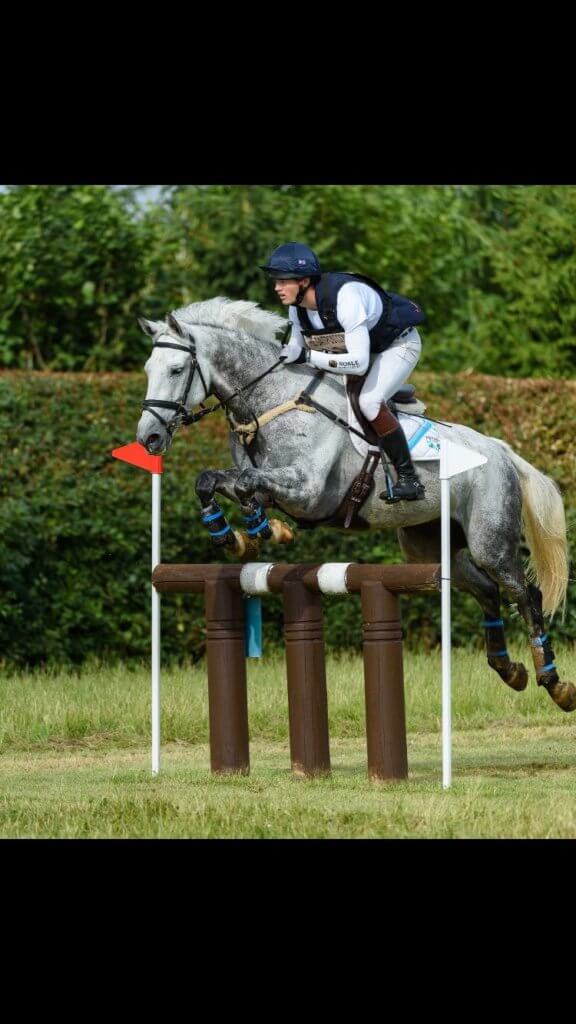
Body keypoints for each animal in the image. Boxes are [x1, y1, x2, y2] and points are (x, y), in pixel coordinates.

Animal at [136, 297, 575, 713]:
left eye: (176, 370)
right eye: (147, 369)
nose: (149, 438)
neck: (269, 402)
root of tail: (502, 451)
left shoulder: (309, 490)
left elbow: (246, 484)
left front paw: (261, 530)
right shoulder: (264, 482)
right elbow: (214, 481)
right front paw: (238, 537)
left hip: (490, 541)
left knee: (525, 595)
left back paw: (554, 683)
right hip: (428, 547)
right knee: (486, 590)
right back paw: (509, 669)